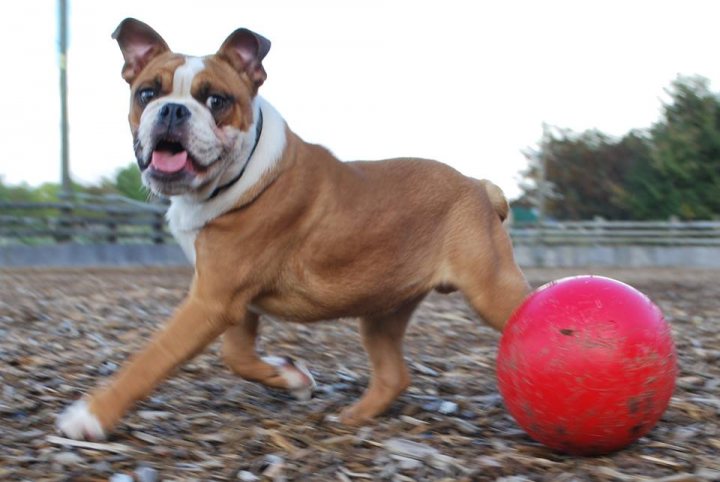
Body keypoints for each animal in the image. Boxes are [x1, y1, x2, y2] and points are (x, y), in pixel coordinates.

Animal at [54, 17, 528, 440]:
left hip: (491, 291)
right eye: (147, 93)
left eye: (216, 101)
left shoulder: (210, 302)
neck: (236, 174)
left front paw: (90, 416)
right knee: (394, 374)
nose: (172, 109)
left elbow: (152, 358)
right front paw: (292, 378)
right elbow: (236, 355)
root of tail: (478, 186)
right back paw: (353, 417)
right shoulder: (230, 300)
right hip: (382, 311)